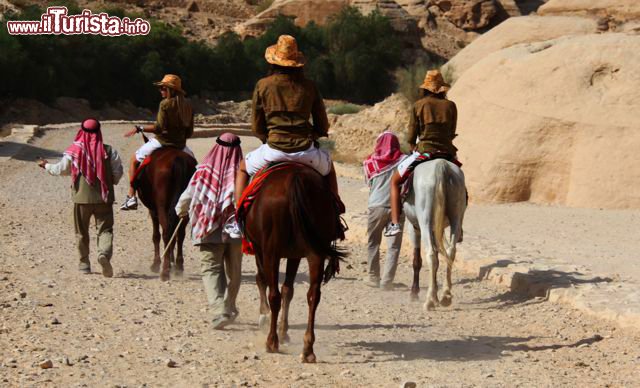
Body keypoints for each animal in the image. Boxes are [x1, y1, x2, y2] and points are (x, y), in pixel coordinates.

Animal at [132, 147, 195, 280]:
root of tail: (178, 159)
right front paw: (172, 261)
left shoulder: (153, 210)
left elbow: (156, 235)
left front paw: (156, 264)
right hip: (185, 205)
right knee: (180, 234)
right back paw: (178, 267)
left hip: (162, 207)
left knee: (166, 233)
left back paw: (165, 270)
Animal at [244, 164, 344, 364]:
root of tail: (295, 179)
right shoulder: (295, 255)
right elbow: (288, 290)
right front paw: (284, 331)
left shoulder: (260, 249)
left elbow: (263, 281)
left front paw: (265, 317)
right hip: (315, 253)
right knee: (313, 296)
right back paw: (308, 348)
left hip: (272, 252)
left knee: (274, 295)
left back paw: (272, 342)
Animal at [404, 157, 464, 310]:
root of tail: (441, 165)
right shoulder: (436, 229)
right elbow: (437, 258)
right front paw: (437, 295)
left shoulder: (414, 227)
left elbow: (417, 260)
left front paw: (415, 293)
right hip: (456, 218)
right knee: (450, 252)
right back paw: (446, 295)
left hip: (424, 220)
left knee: (430, 254)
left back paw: (429, 301)